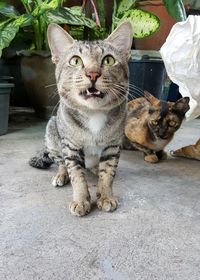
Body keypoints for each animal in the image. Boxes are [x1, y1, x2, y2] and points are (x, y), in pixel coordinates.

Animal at [29, 21, 133, 217]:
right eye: (75, 60)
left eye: (108, 60)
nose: (93, 74)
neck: (94, 114)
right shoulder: (71, 147)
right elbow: (77, 175)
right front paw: (80, 200)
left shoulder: (113, 146)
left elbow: (107, 174)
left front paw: (106, 196)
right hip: (53, 134)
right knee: (61, 163)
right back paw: (61, 175)